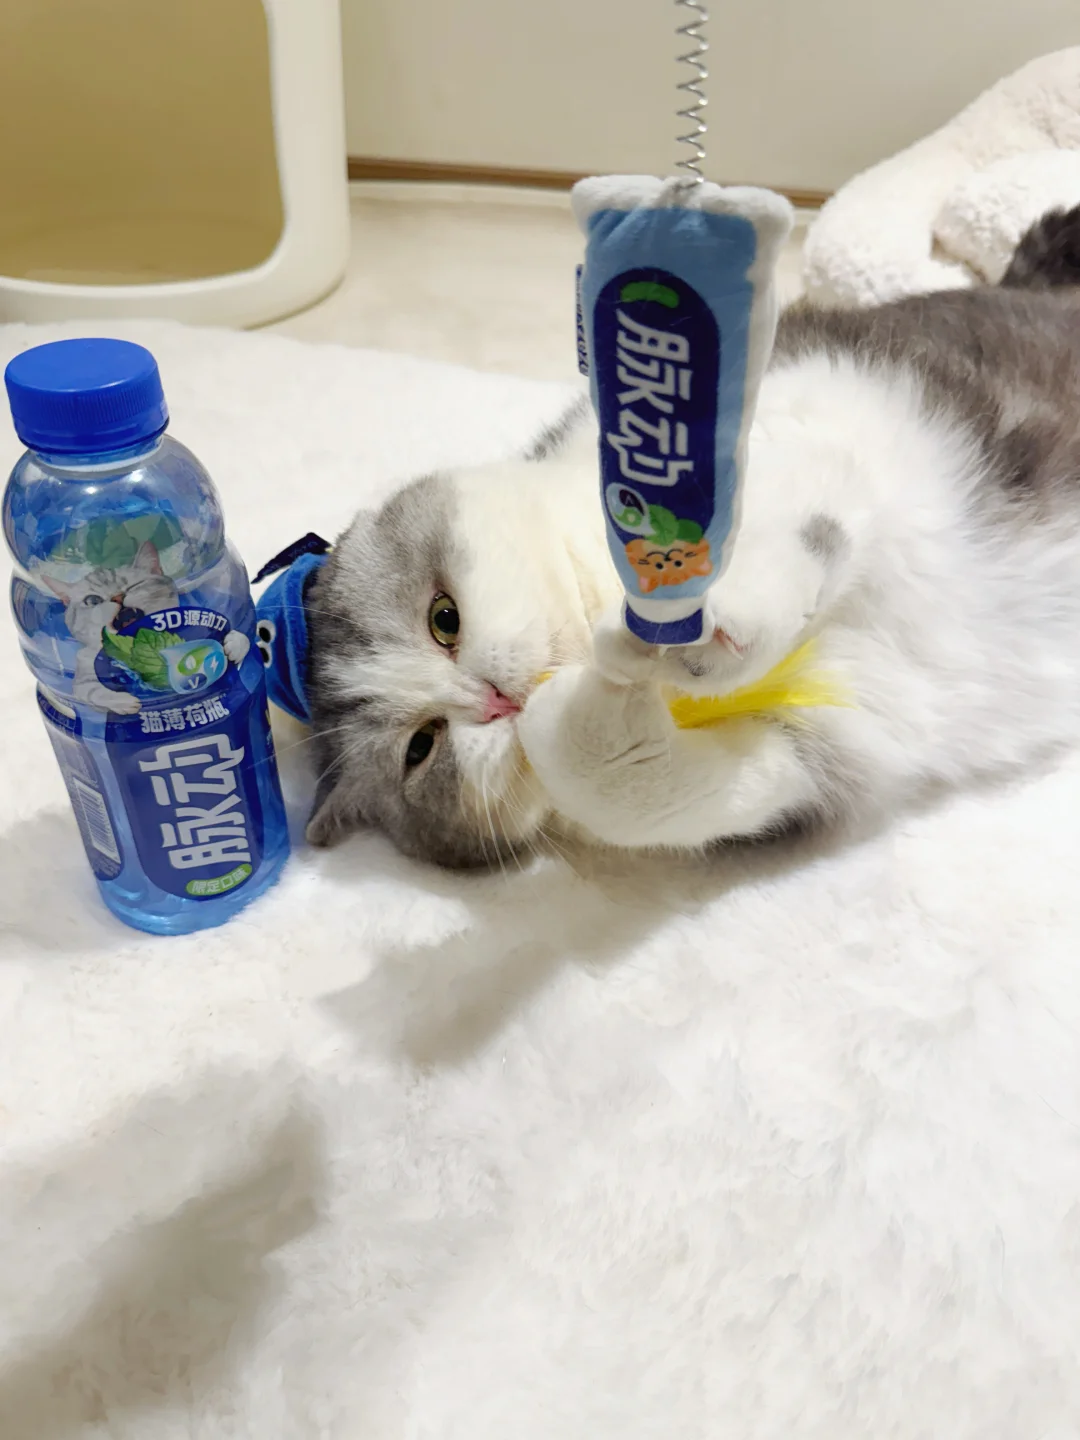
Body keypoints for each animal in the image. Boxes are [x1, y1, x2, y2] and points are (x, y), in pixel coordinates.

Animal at [45, 539, 248, 714]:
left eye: (136, 585)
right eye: (93, 600)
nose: (118, 597)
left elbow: (242, 637)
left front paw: (233, 644)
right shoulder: (83, 676)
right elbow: (93, 691)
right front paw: (125, 701)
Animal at [302, 206, 1080, 868]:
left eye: (444, 620)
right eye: (421, 748)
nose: (493, 700)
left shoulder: (807, 425)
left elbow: (782, 522)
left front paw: (697, 624)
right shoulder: (819, 755)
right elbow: (634, 789)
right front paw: (575, 711)